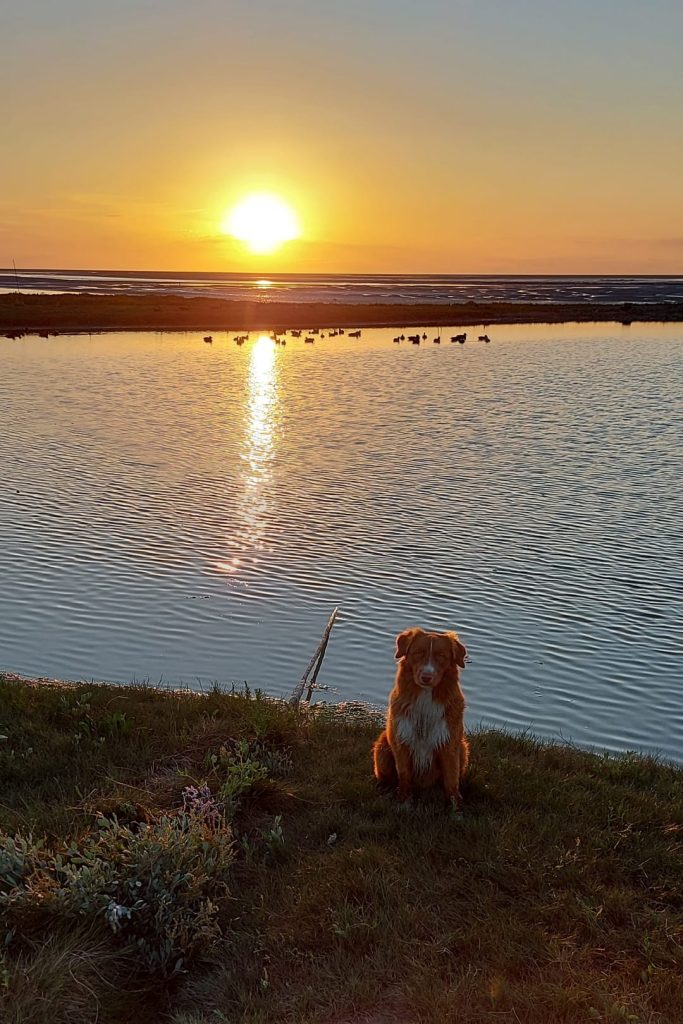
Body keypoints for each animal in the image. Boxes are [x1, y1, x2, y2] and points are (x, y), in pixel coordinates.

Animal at [374, 626, 471, 811]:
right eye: (418, 652)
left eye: (441, 655)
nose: (426, 676)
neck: (426, 697)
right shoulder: (401, 741)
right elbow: (404, 776)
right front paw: (404, 802)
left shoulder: (449, 744)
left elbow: (451, 780)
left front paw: (456, 809)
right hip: (382, 746)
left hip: (463, 747)